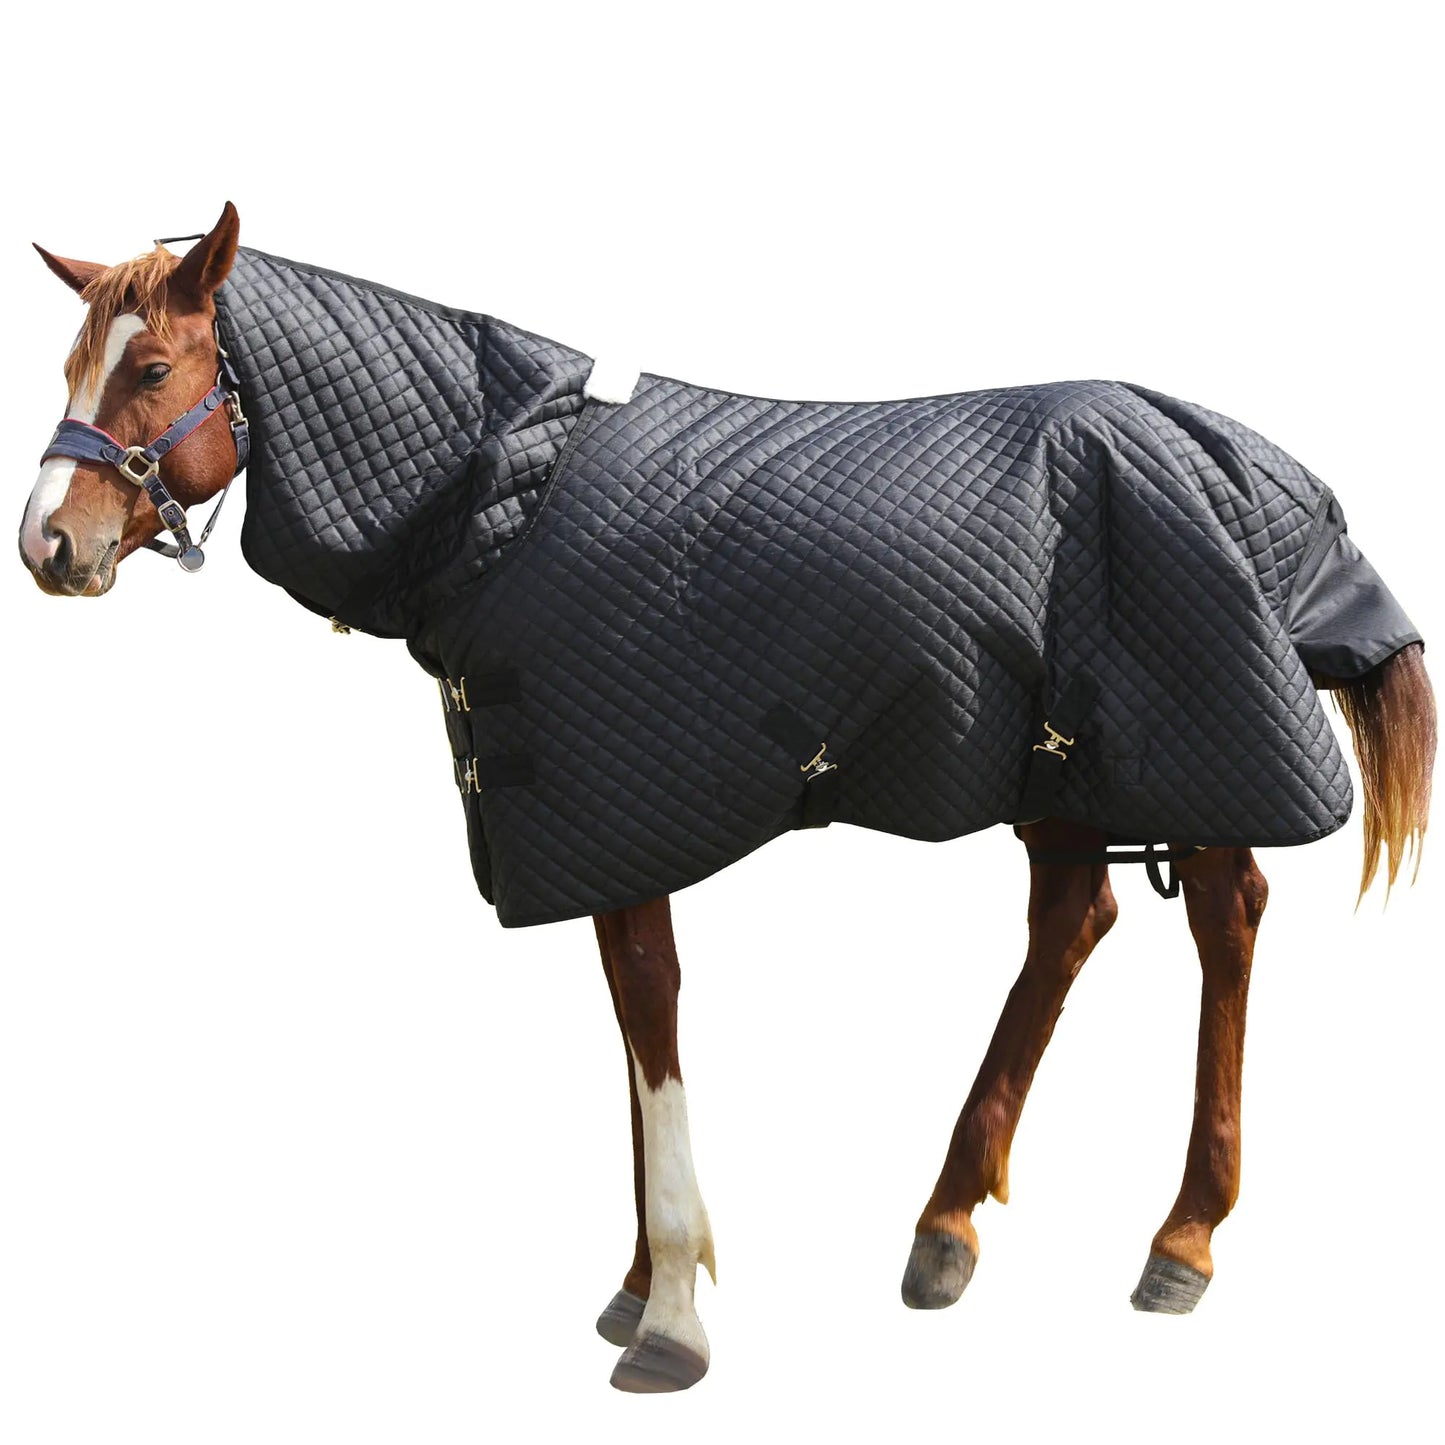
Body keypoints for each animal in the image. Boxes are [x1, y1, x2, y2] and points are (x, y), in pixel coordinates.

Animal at [20, 203, 1436, 1393]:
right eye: (74, 369)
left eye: (153, 371)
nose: (48, 544)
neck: (505, 493)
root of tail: (1256, 466)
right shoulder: (588, 822)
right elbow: (622, 1021)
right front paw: (635, 1278)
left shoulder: (615, 812)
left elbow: (650, 1015)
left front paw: (668, 1316)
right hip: (1062, 762)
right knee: (1075, 919)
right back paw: (946, 1224)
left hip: (1191, 746)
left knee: (1223, 916)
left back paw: (1181, 1238)